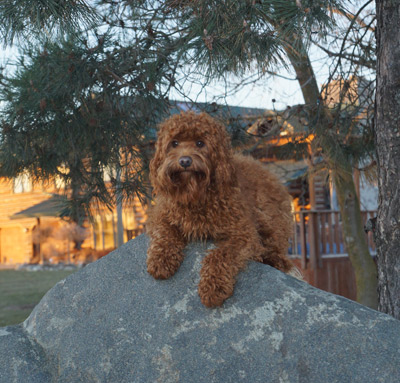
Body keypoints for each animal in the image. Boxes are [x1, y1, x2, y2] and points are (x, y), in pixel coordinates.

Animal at [145, 111, 296, 308]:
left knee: (277, 249)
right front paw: (161, 259)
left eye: (200, 143)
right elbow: (165, 232)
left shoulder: (243, 233)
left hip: (267, 217)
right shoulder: (161, 214)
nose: (185, 161)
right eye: (174, 143)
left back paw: (273, 259)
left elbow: (221, 254)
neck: (195, 195)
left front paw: (213, 287)